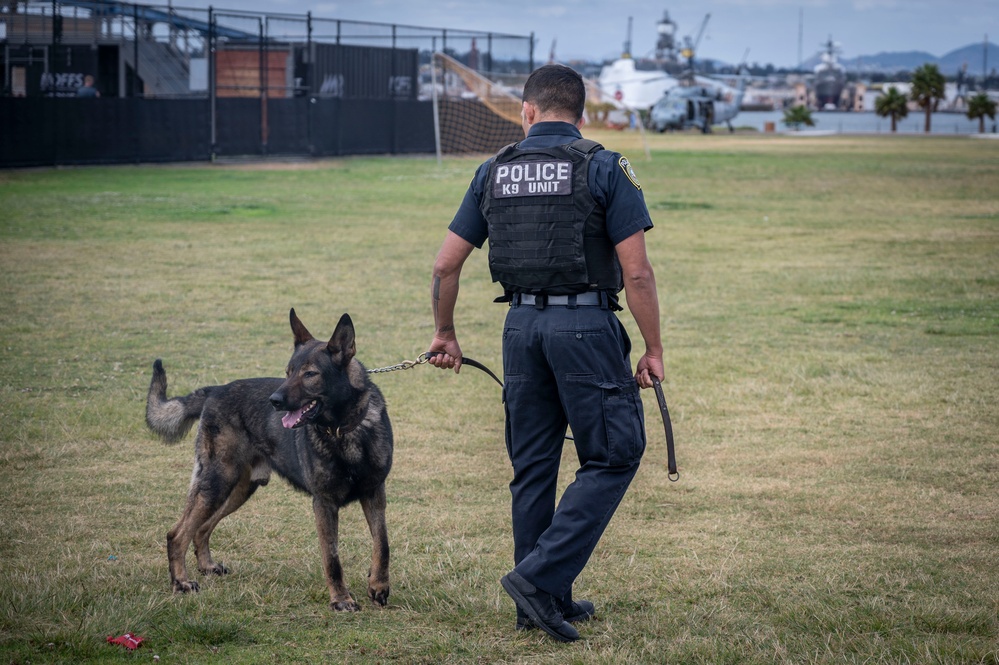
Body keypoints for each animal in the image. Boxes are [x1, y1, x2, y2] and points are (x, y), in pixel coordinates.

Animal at [146, 308, 392, 608]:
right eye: (287, 373)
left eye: (310, 374)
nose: (274, 401)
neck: (343, 429)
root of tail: (215, 390)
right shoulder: (324, 504)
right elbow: (332, 558)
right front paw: (341, 599)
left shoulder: (374, 495)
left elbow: (382, 544)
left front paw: (378, 586)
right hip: (217, 484)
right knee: (177, 534)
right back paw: (181, 582)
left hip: (239, 489)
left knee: (201, 529)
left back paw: (207, 566)